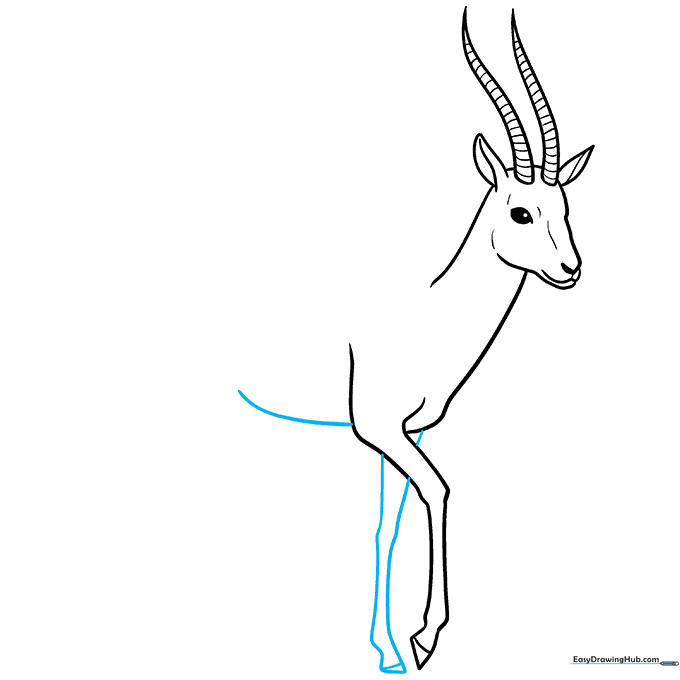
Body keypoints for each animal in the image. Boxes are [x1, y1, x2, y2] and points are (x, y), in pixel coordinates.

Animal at [240, 8, 594, 673]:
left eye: (565, 207)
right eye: (521, 212)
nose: (571, 270)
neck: (426, 318)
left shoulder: (407, 433)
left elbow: (388, 527)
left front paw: (387, 650)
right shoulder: (377, 427)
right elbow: (440, 489)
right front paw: (425, 637)